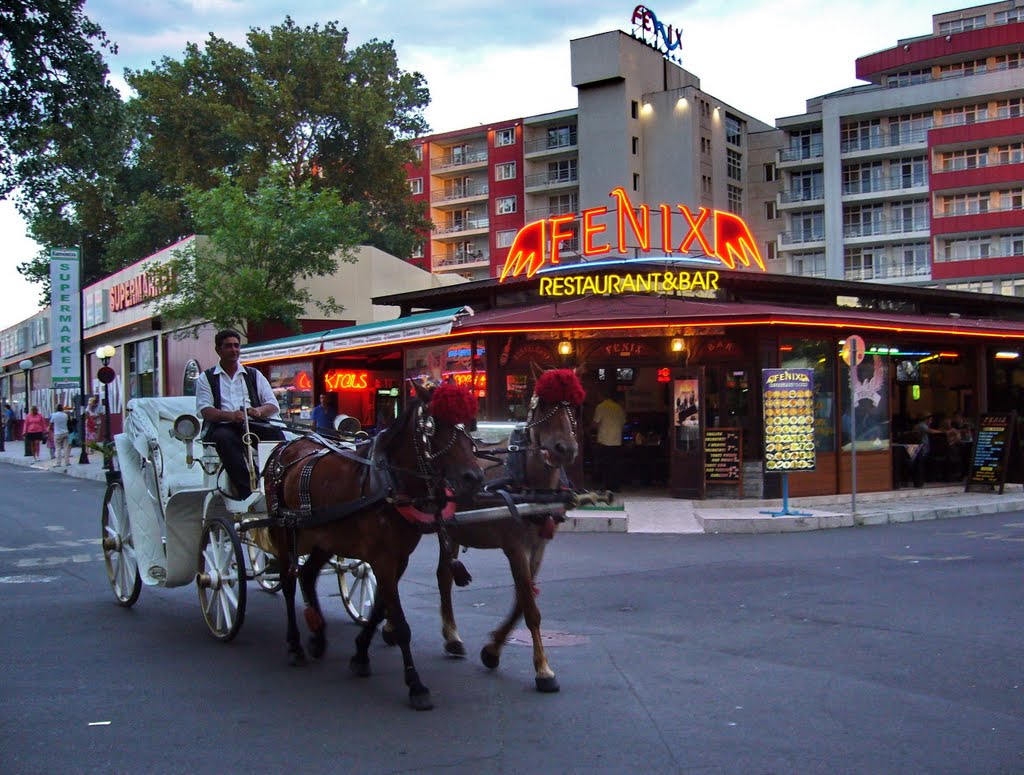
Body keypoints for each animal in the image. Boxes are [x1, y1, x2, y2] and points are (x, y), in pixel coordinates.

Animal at [266, 378, 485, 708]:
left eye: (469, 424)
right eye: (432, 426)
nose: (474, 477)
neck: (390, 482)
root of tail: (286, 446)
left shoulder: (398, 558)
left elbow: (381, 609)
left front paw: (359, 655)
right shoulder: (382, 558)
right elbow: (400, 622)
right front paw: (416, 685)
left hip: (322, 537)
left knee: (307, 574)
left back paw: (318, 636)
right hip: (283, 532)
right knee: (289, 583)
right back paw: (295, 646)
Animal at [438, 366, 589, 692]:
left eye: (571, 405)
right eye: (543, 405)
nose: (565, 449)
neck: (531, 488)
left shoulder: (539, 548)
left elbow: (522, 601)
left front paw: (492, 650)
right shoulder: (515, 548)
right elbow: (530, 609)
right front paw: (543, 670)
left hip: (452, 531)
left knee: (443, 576)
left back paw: (452, 638)